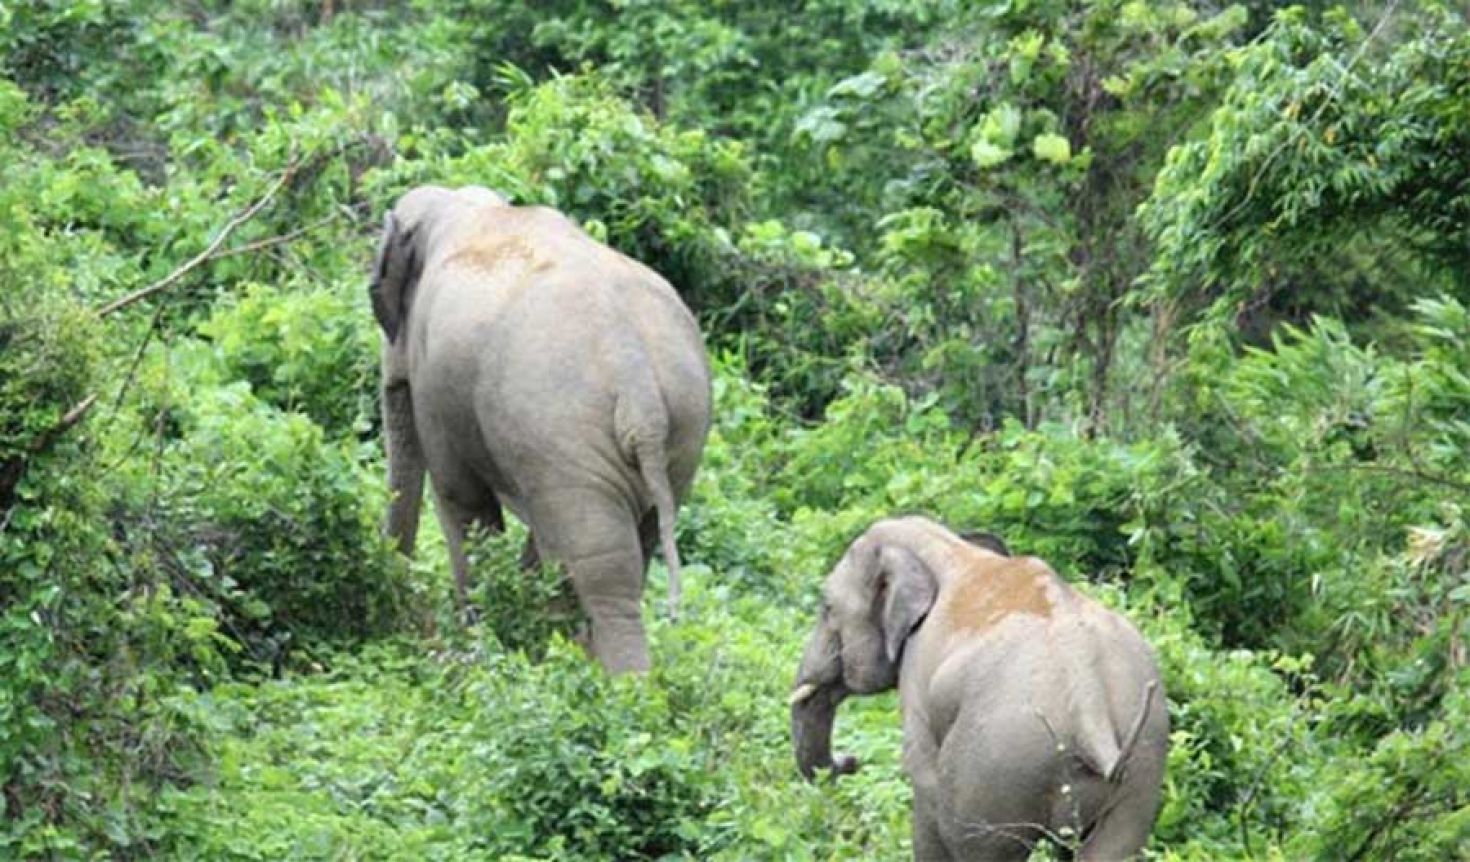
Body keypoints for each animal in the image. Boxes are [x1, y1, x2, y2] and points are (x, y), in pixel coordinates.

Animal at [367, 184, 711, 673]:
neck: (464, 204)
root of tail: (637, 382)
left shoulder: (434, 379)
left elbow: (459, 497)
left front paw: (480, 639)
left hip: (564, 432)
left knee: (597, 567)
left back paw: (596, 679)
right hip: (680, 437)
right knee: (622, 553)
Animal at [793, 514, 1170, 853]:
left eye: (826, 607)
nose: (851, 761)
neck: (945, 546)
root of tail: (1088, 702)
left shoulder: (917, 673)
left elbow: (924, 787)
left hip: (995, 764)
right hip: (1141, 769)